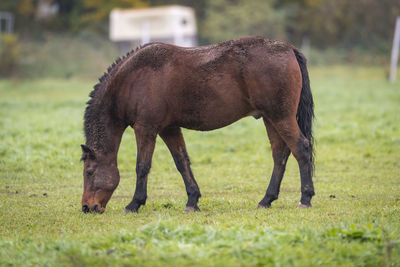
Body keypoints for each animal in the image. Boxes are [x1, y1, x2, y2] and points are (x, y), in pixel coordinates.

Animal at [79, 36, 316, 215]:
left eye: (89, 172)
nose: (87, 207)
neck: (132, 80)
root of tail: (288, 48)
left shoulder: (146, 129)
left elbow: (142, 166)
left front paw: (134, 203)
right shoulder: (169, 129)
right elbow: (182, 162)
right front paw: (192, 200)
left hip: (280, 117)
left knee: (301, 149)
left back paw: (305, 199)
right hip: (270, 118)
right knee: (280, 155)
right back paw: (266, 200)